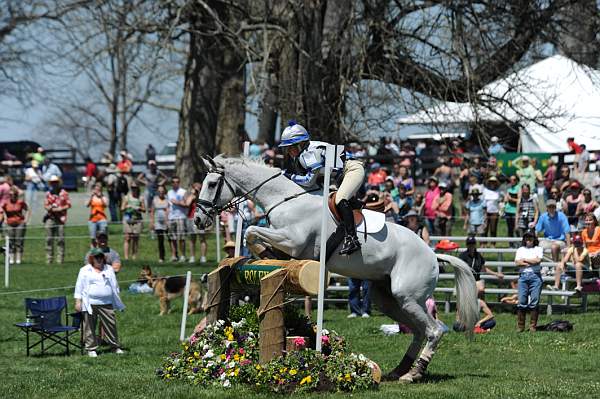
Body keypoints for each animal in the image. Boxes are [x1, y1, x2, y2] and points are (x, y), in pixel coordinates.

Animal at [197, 155, 478, 382]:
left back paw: (413, 373)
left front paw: (267, 253)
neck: (284, 201)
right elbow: (253, 235)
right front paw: (268, 255)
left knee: (434, 330)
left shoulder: (293, 239)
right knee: (420, 331)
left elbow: (252, 231)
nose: (199, 219)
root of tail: (432, 253)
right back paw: (399, 370)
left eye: (212, 184)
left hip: (408, 296)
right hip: (387, 299)